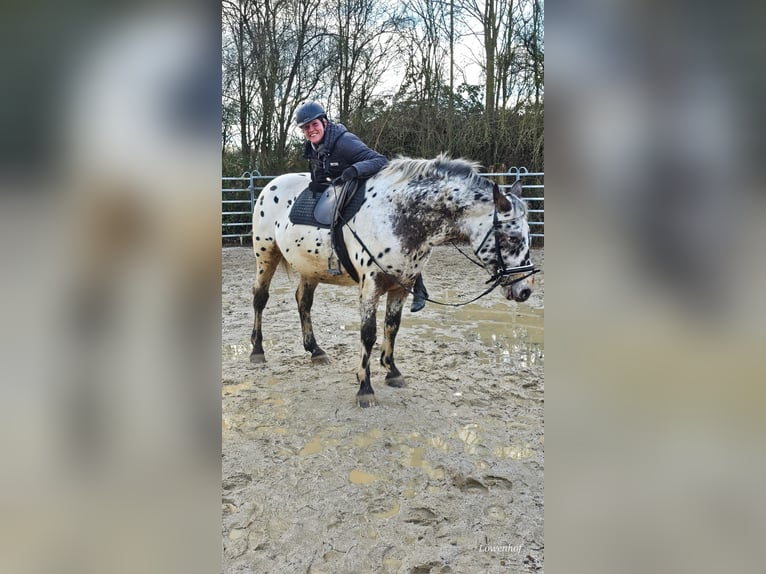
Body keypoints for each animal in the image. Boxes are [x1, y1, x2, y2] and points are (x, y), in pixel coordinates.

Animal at [249, 154, 536, 410]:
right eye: (510, 237)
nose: (525, 289)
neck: (399, 217)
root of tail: (271, 185)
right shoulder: (371, 287)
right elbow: (368, 334)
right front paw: (364, 387)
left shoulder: (401, 286)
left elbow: (392, 327)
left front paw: (392, 370)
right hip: (266, 255)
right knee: (260, 298)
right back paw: (257, 350)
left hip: (310, 269)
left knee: (303, 302)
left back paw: (315, 350)